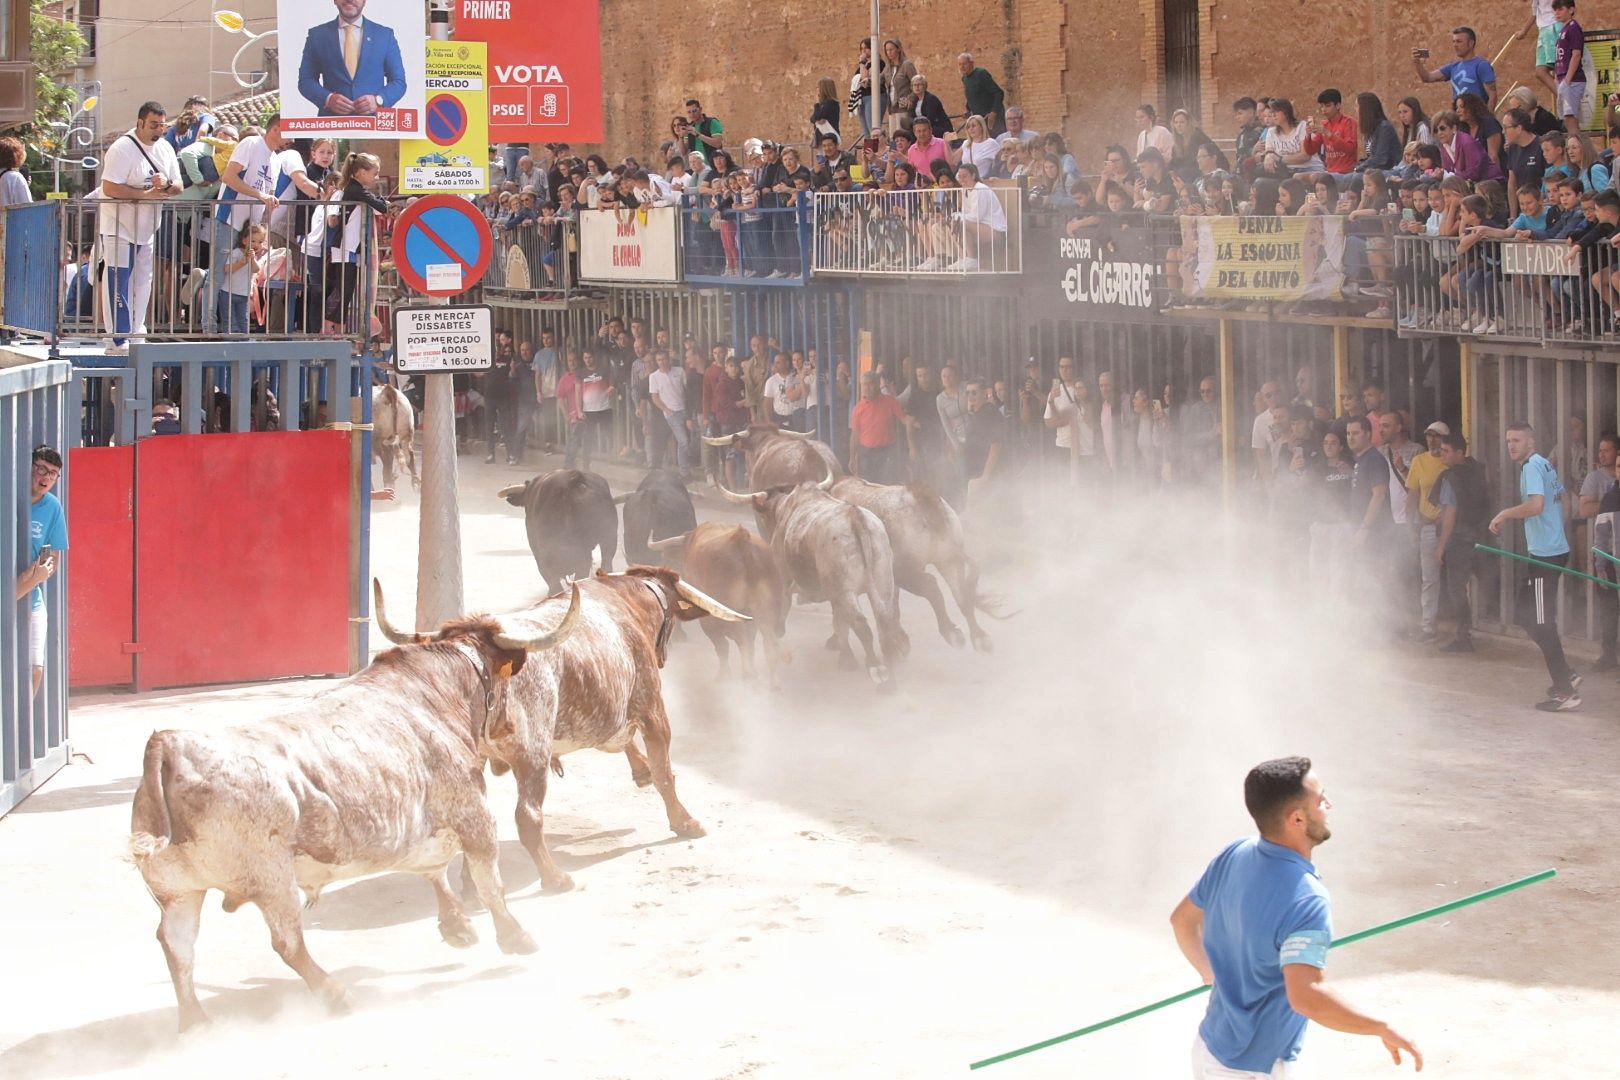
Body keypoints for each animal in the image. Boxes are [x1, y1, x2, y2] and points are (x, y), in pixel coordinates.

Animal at [129, 586, 583, 1036]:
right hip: (271, 879)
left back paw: (195, 1021)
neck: (434, 691)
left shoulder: (414, 824)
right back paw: (335, 994)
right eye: (508, 678)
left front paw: (458, 927)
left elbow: (432, 867)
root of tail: (171, 746)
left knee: (178, 946)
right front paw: (514, 936)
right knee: (286, 942)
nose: (509, 727)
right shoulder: (473, 813)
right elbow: (490, 882)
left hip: (178, 891)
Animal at [379, 566, 751, 893]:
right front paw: (684, 822)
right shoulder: (651, 707)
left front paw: (641, 770)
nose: (663, 657)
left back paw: (473, 883)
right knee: (528, 816)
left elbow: (625, 744)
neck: (623, 599)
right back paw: (554, 878)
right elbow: (664, 772)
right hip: (532, 752)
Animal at [648, 524, 793, 693]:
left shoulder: (710, 621)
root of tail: (741, 540)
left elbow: (722, 646)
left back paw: (748, 676)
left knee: (740, 640)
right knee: (768, 644)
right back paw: (773, 683)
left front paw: (724, 675)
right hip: (766, 611)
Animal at [722, 479, 913, 683]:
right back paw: (891, 657)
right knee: (884, 618)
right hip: (881, 582)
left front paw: (779, 630)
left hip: (845, 591)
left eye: (764, 516)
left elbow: (787, 604)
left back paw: (872, 666)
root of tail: (855, 516)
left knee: (861, 624)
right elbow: (839, 621)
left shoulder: (783, 575)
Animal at [835, 479, 997, 650]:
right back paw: (979, 637)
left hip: (906, 571)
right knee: (960, 592)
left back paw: (951, 632)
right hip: (948, 559)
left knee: (931, 586)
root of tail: (919, 496)